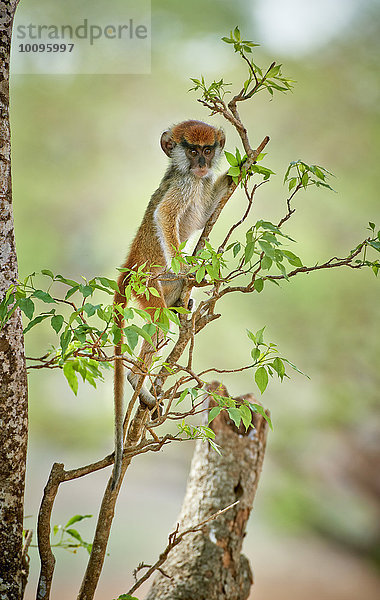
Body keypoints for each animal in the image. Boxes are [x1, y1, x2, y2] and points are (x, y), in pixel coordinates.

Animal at [110, 118, 232, 488]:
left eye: (207, 149)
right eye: (191, 150)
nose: (203, 163)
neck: (188, 174)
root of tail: (129, 266)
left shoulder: (199, 185)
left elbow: (208, 209)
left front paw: (235, 174)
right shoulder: (184, 186)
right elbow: (165, 215)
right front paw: (183, 262)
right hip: (149, 287)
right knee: (156, 326)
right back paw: (137, 381)